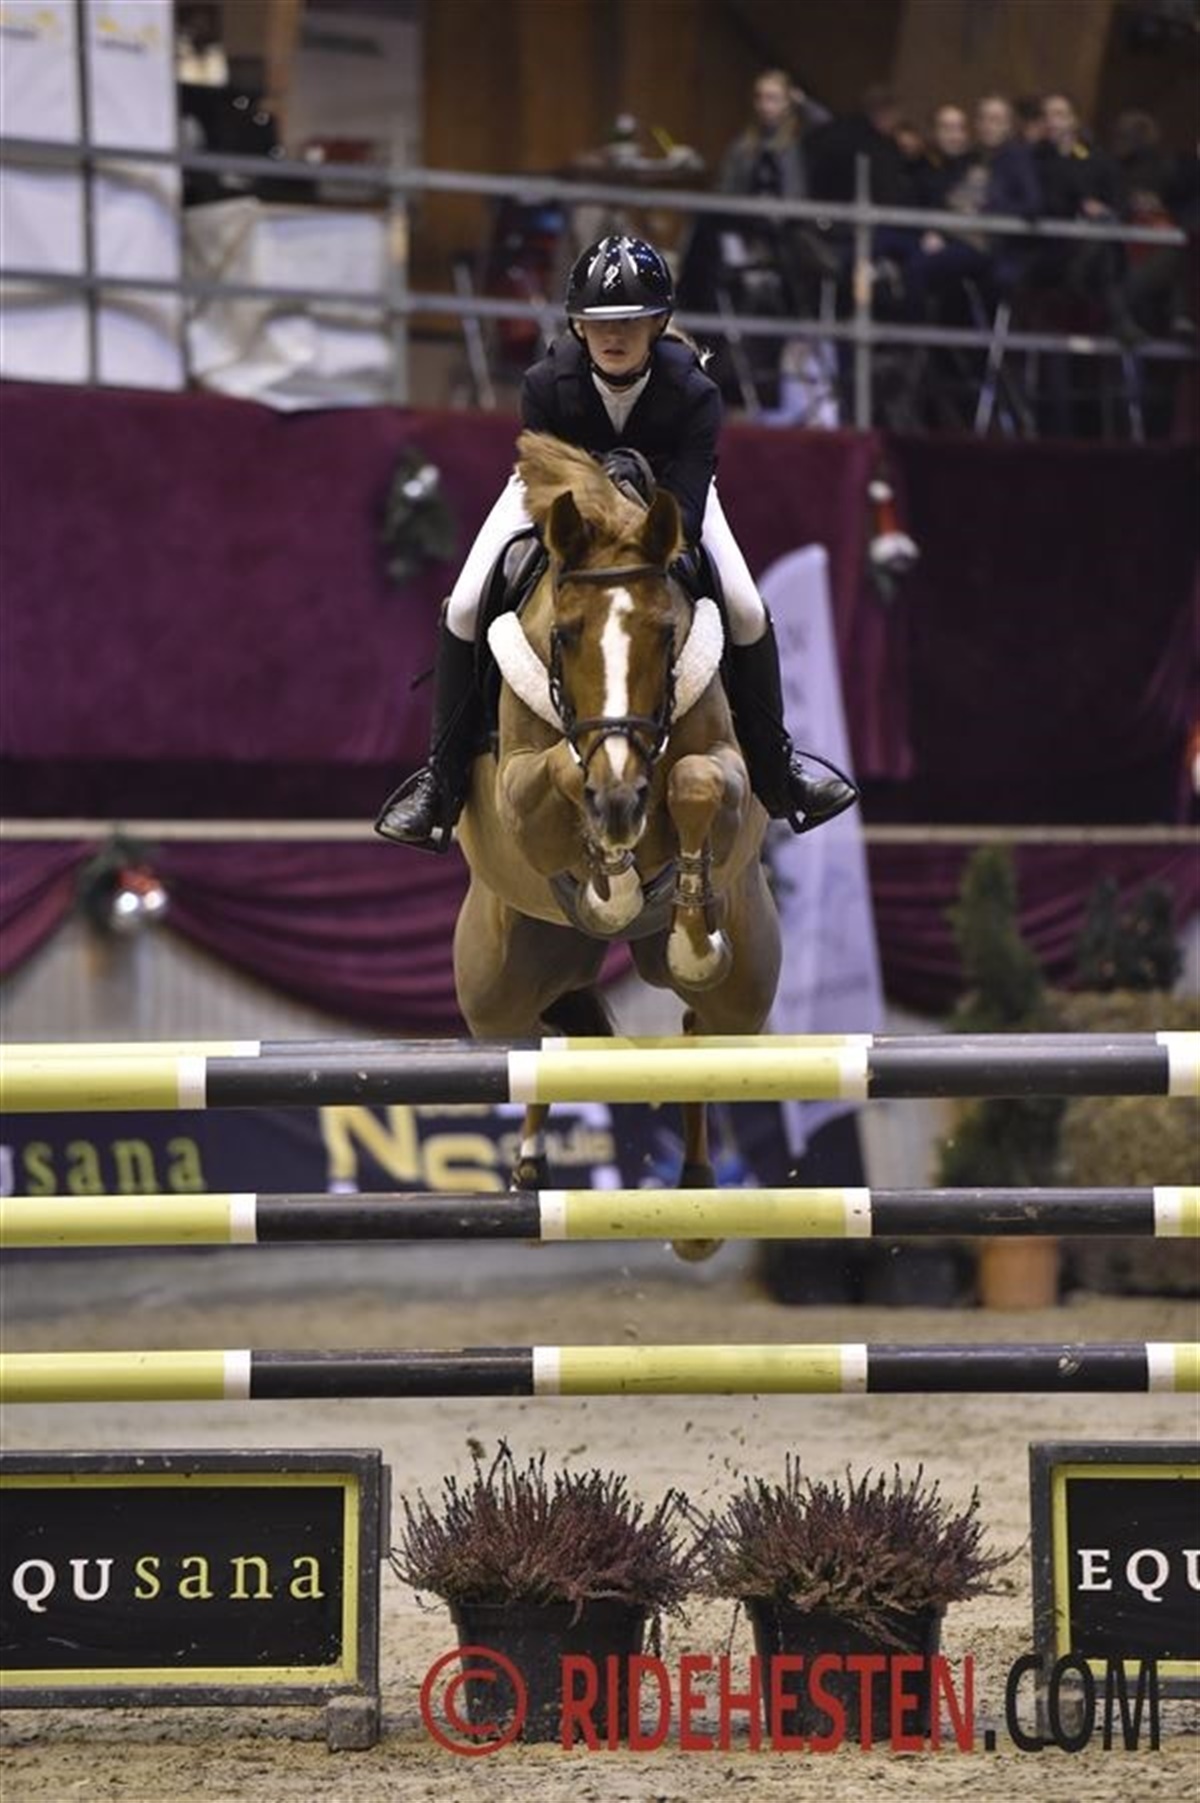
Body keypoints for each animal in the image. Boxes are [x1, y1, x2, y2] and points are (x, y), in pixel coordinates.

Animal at [453, 431, 782, 1256]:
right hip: (494, 992)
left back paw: (695, 1202)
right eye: (565, 636)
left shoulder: (723, 769)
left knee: (701, 1030)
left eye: (665, 635)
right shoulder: (518, 795)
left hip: (745, 984)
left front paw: (676, 921)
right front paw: (612, 876)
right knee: (543, 1040)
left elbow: (696, 779)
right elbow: (561, 775)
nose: (622, 799)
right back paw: (531, 1163)